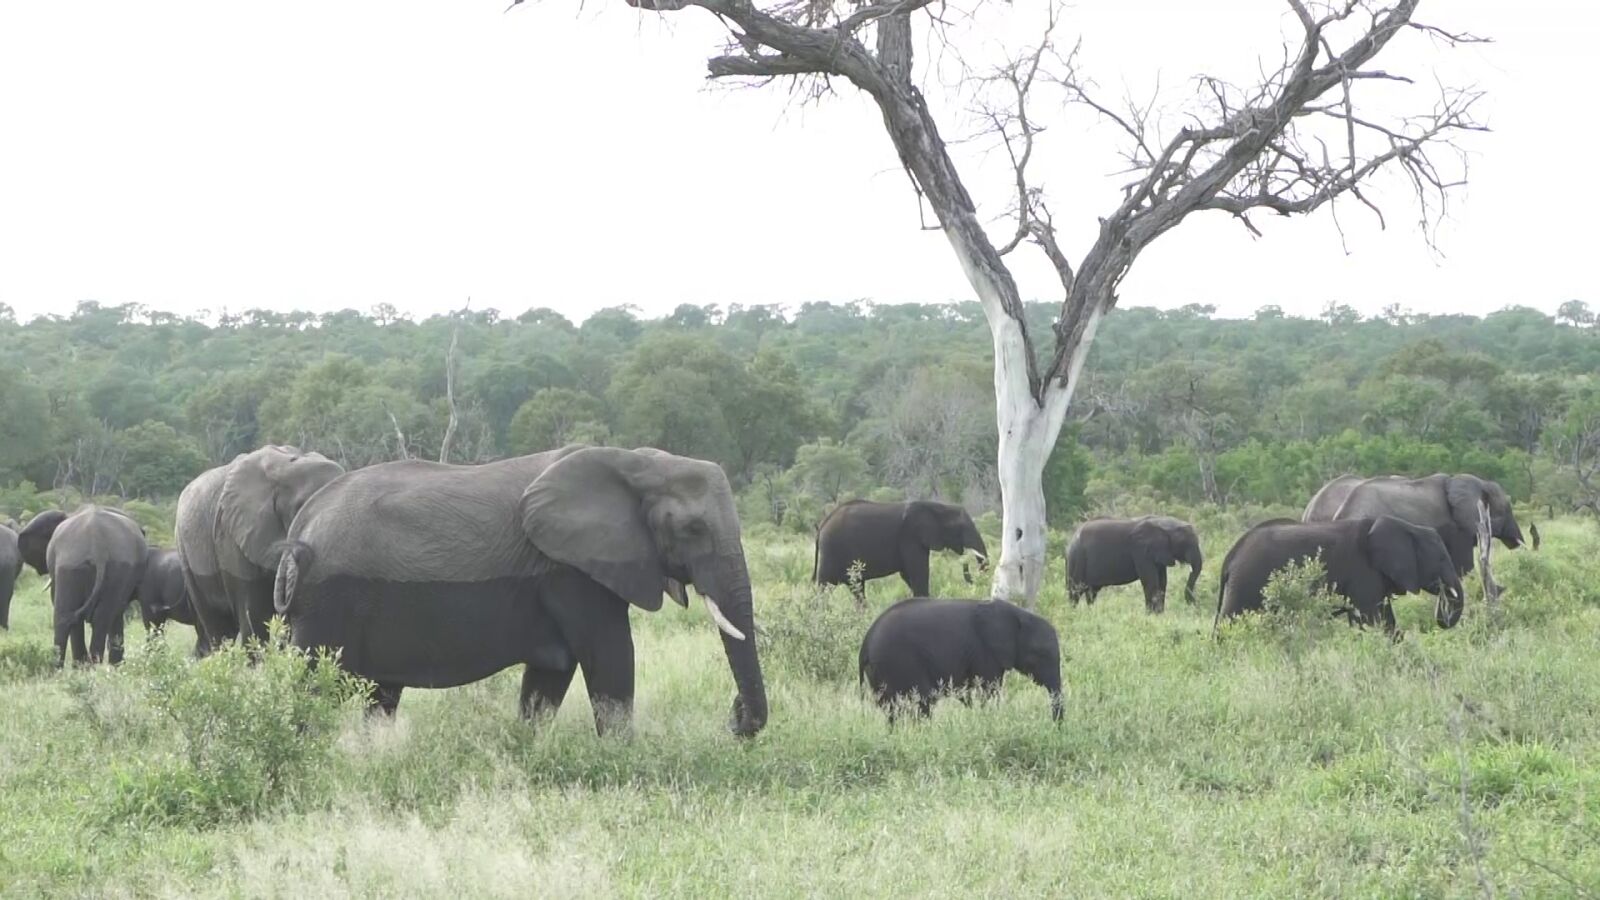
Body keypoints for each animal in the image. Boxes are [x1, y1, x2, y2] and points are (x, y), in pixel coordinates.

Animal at [271, 445, 768, 737]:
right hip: (328, 603)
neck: (637, 462)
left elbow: (550, 676)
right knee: (311, 686)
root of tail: (301, 531)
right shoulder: (570, 571)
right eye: (694, 529)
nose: (736, 715)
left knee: (382, 696)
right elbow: (610, 655)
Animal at [813, 499, 989, 605]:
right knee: (825, 587)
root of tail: (823, 524)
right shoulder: (910, 538)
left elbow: (908, 576)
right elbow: (919, 574)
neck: (937, 507)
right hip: (832, 551)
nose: (966, 557)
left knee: (856, 587)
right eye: (962, 528)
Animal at [858, 597, 1063, 723]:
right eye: (1041, 654)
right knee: (922, 701)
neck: (1017, 614)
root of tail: (865, 642)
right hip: (898, 662)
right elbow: (989, 690)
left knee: (891, 708)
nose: (1056, 727)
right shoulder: (985, 653)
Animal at [1064, 516, 1203, 612]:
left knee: (1091, 593)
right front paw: (1151, 616)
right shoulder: (1141, 551)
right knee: (1075, 591)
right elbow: (1151, 583)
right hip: (1077, 559)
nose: (1192, 603)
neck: (1163, 523)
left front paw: (1159, 615)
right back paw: (1073, 614)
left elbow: (1162, 583)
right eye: (1185, 543)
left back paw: (1091, 613)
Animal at [1215, 515, 1466, 633]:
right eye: (1441, 559)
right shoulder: (1363, 573)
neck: (1407, 527)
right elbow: (1373, 620)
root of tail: (1231, 556)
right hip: (1246, 582)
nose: (1443, 591)